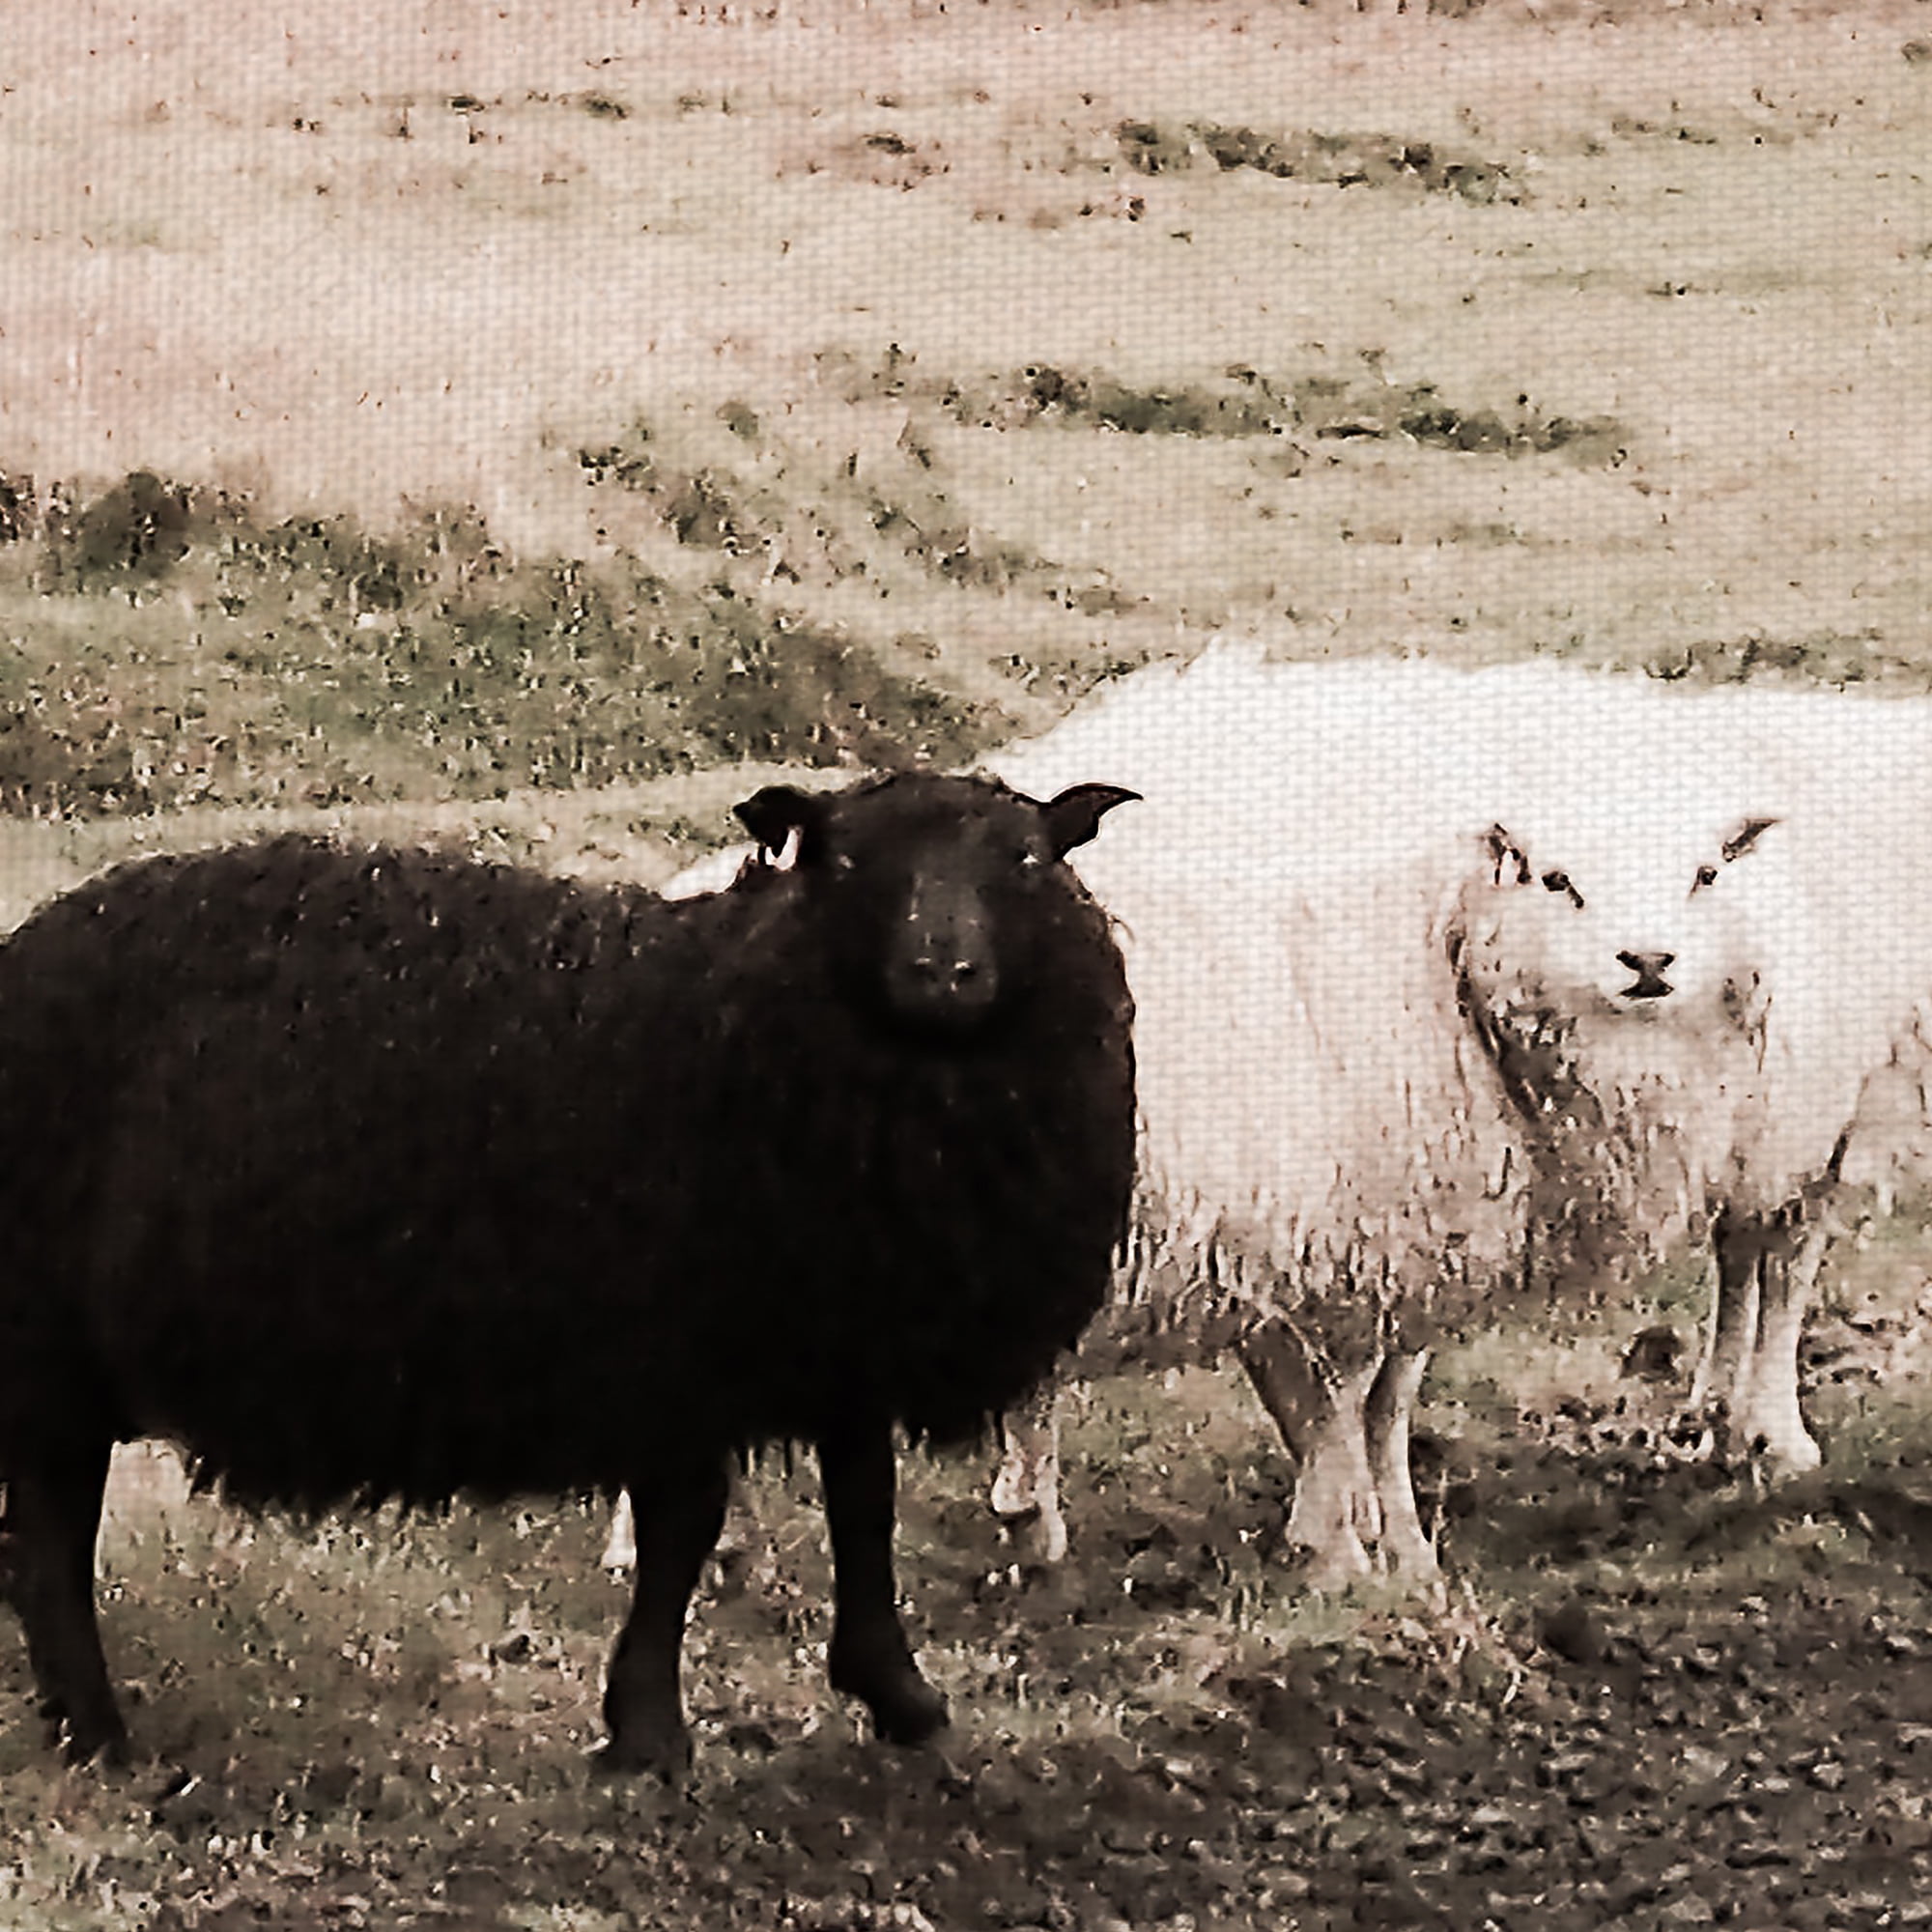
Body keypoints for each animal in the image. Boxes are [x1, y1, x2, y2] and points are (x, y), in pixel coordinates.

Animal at [0, 770, 1139, 1775]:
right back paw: (97, 1736)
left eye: (1027, 860)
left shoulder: (837, 1333)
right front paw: (648, 1734)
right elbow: (685, 1529)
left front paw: (898, 1694)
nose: (942, 972)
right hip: (46, 1343)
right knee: (48, 1536)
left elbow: (864, 1506)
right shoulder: (675, 1349)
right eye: (846, 858)